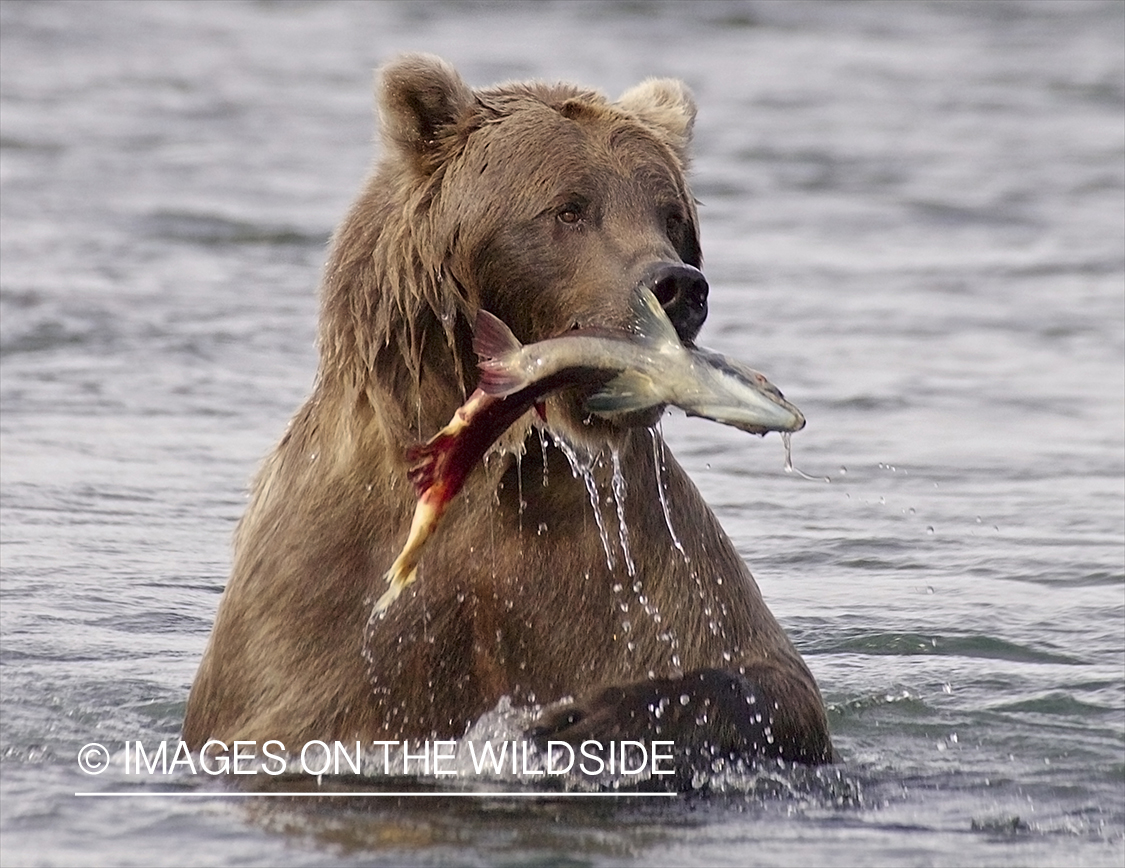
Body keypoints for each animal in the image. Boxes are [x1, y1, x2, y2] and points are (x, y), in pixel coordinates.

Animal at [184, 54, 837, 769]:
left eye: (671, 216)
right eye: (570, 209)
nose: (678, 286)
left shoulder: (626, 560)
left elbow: (760, 676)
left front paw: (579, 719)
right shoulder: (322, 598)